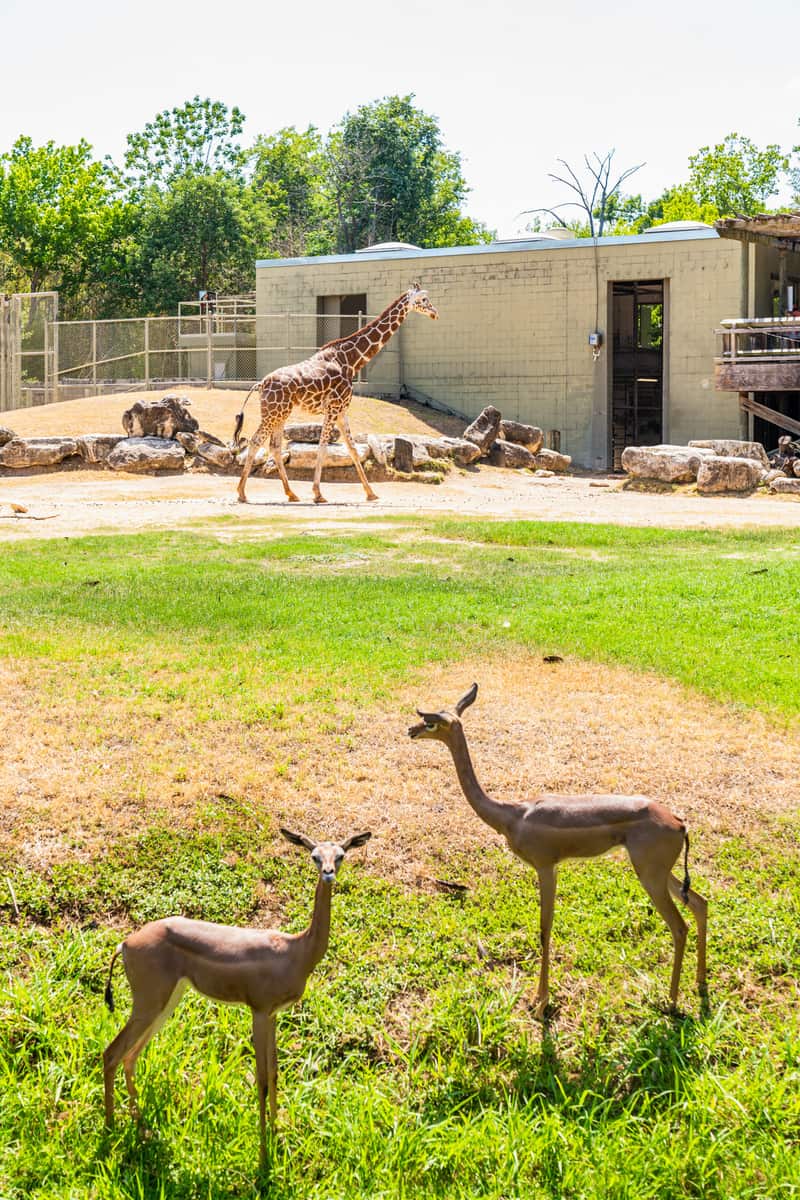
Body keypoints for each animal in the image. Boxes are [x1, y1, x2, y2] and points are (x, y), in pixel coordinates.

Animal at [102, 830, 371, 1156]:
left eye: (341, 855)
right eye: (315, 856)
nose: (328, 873)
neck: (296, 951)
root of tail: (125, 944)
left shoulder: (273, 1015)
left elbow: (275, 1074)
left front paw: (278, 1135)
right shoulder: (259, 1011)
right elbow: (262, 1080)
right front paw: (265, 1154)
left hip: (165, 1003)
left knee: (130, 1056)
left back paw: (141, 1127)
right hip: (148, 1004)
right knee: (111, 1053)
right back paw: (110, 1128)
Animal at [235, 283, 441, 504]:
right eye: (423, 300)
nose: (435, 313)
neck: (350, 360)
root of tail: (260, 384)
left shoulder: (342, 410)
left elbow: (352, 448)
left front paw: (371, 493)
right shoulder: (333, 407)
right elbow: (323, 447)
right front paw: (318, 494)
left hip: (280, 414)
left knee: (274, 446)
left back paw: (291, 493)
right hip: (273, 414)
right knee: (256, 441)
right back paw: (242, 493)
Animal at [410, 691, 710, 1017]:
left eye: (431, 723)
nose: (411, 730)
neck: (512, 815)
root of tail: (680, 823)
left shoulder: (545, 866)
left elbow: (545, 928)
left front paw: (540, 1003)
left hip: (650, 875)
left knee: (679, 927)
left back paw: (671, 1001)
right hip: (657, 871)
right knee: (700, 903)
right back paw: (700, 983)